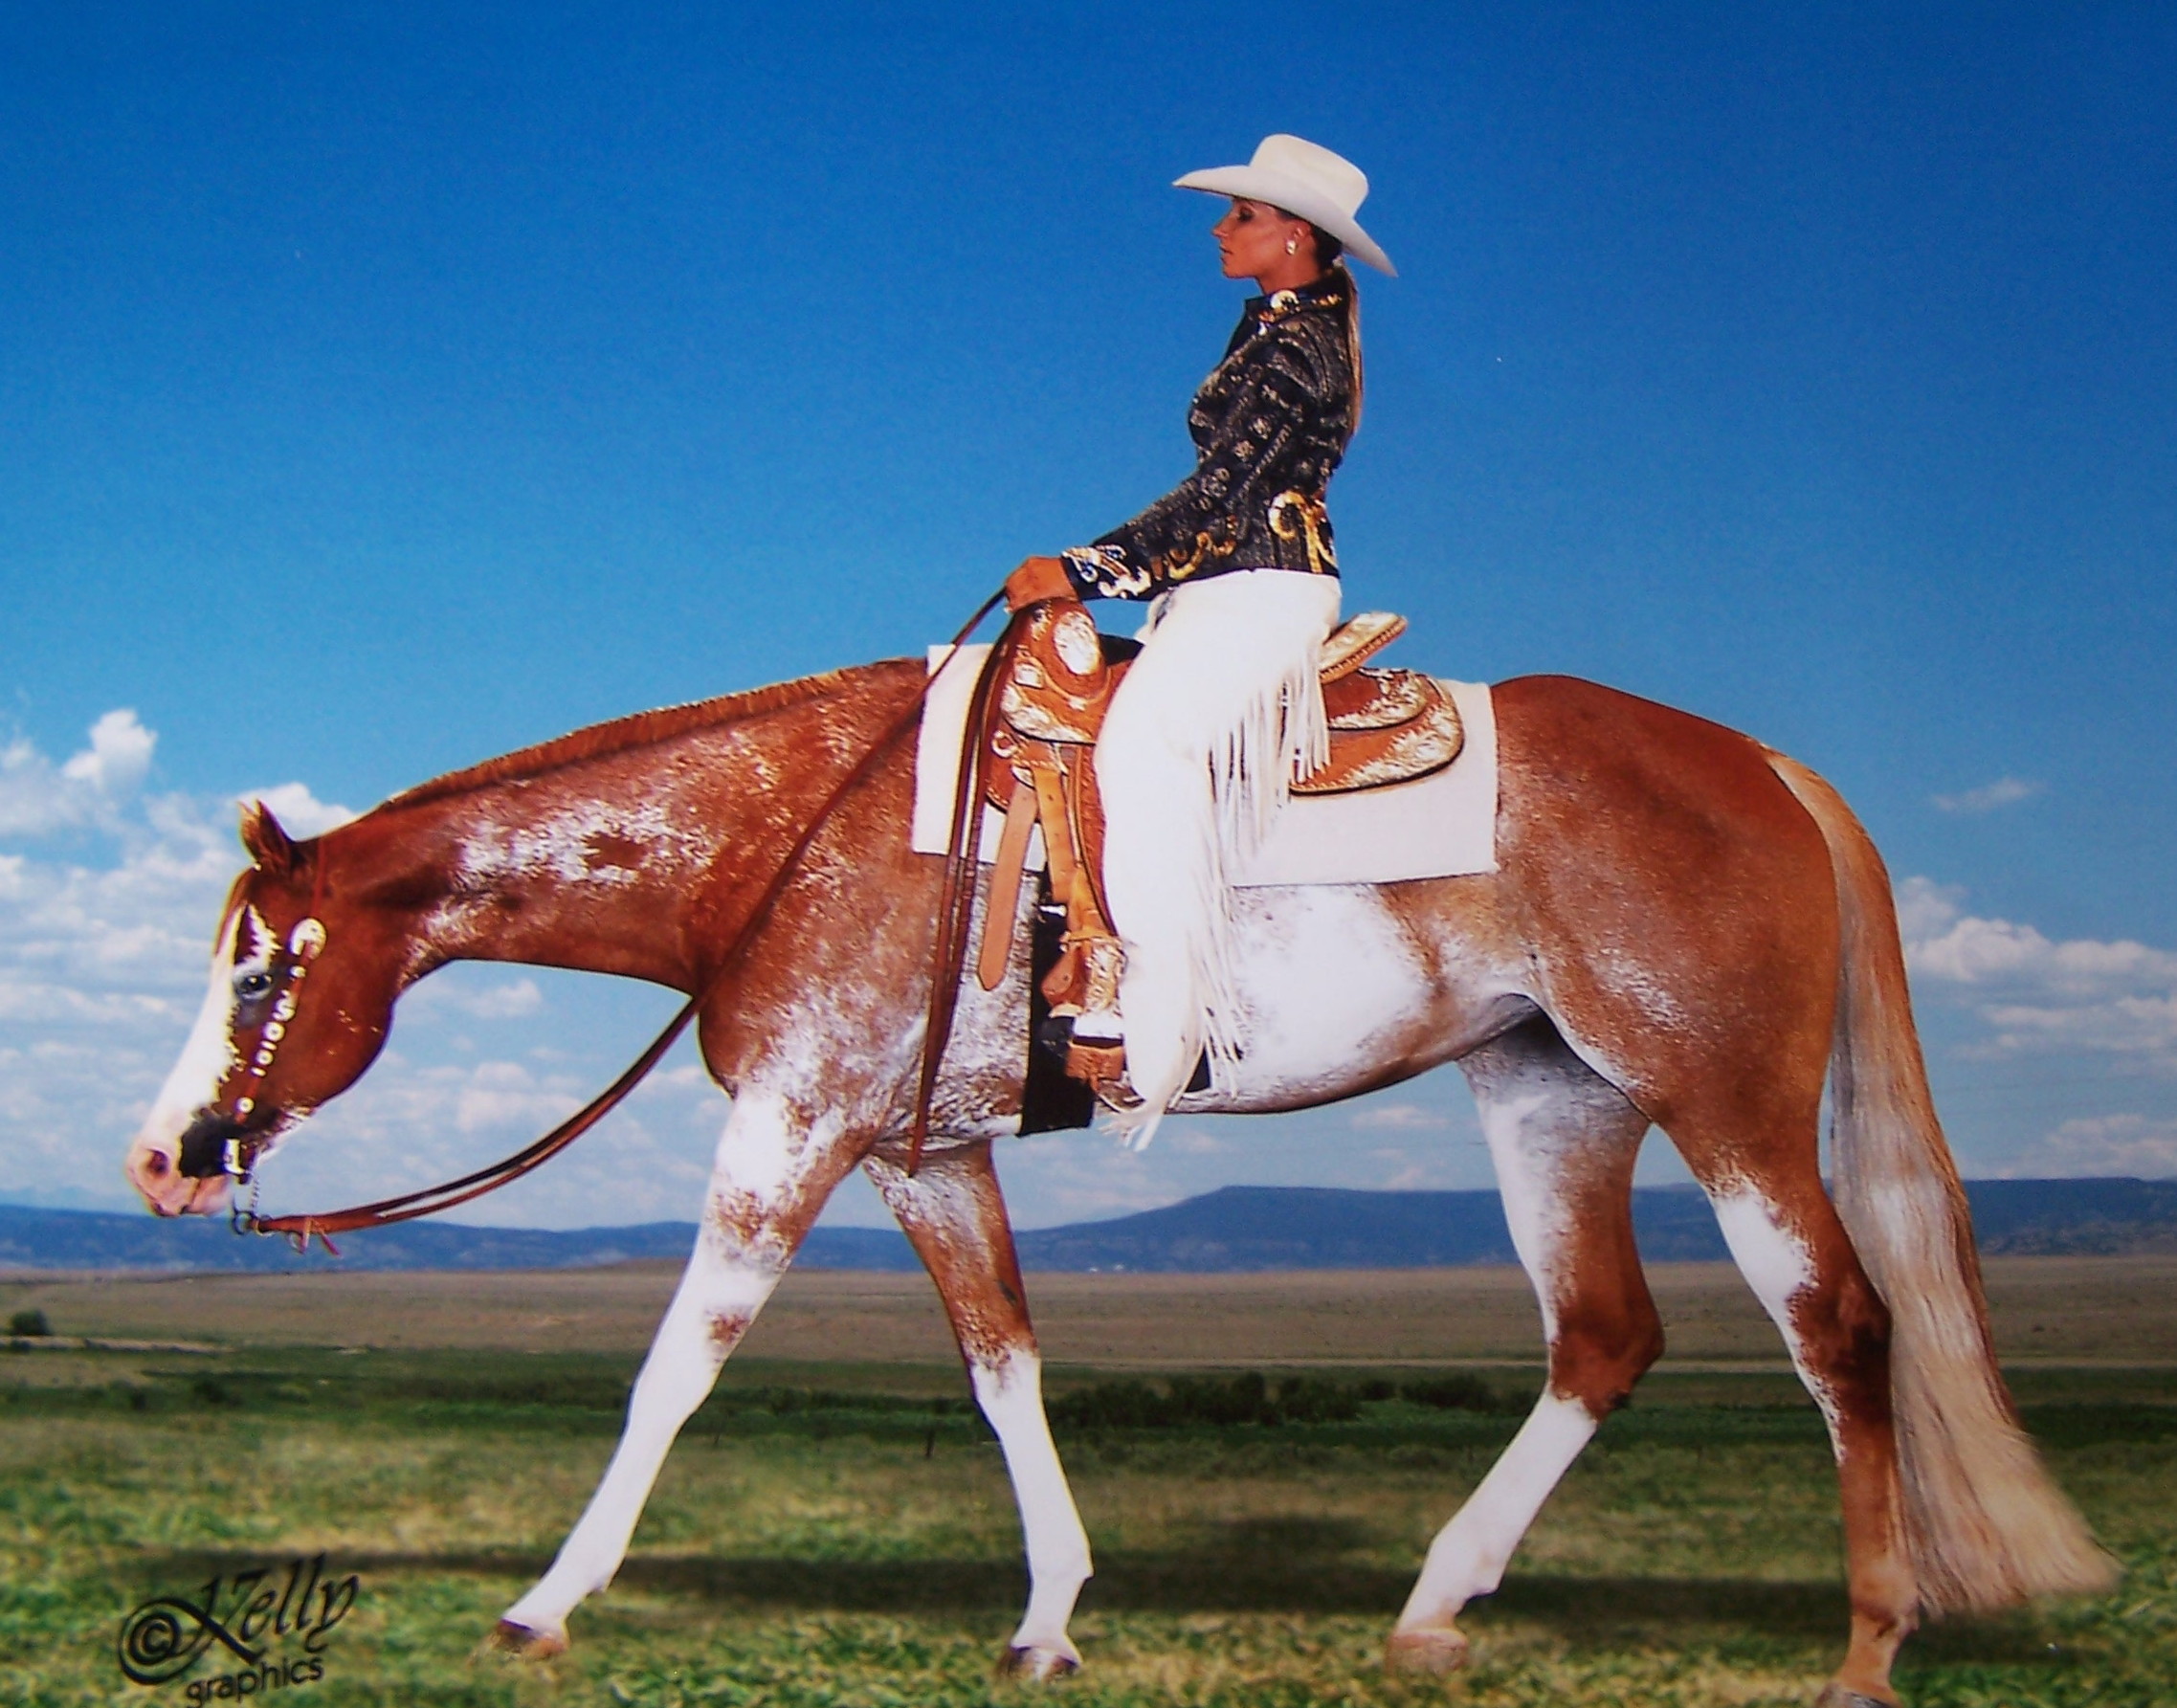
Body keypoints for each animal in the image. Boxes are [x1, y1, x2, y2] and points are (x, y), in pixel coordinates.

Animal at [121, 656, 2113, 1706]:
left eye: (259, 966)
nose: (157, 1159)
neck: (789, 835)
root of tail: (1763, 763)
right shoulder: (920, 1154)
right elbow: (1003, 1361)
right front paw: (1052, 1615)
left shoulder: (793, 1129)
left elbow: (678, 1361)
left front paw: (544, 1599)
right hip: (1550, 1098)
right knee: (1603, 1339)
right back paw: (1432, 1603)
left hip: (1726, 1105)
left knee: (1837, 1323)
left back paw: (1866, 1650)